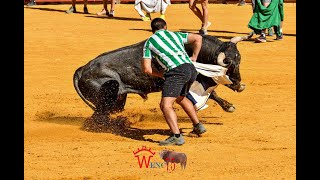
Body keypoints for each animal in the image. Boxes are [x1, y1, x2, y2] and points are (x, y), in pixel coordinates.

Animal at [73, 33, 250, 116]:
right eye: (230, 66)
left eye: (240, 60)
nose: (239, 82)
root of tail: (81, 70)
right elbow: (212, 93)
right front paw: (229, 106)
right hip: (105, 100)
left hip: (118, 99)